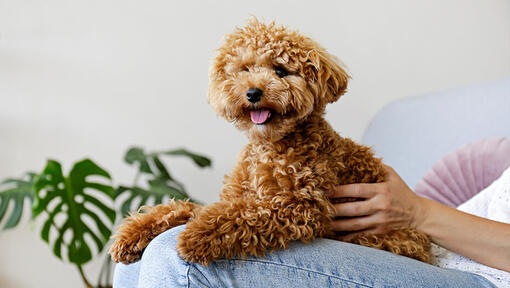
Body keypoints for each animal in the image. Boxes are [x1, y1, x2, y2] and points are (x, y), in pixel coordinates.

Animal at [108, 18, 430, 266]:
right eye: (245, 69)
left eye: (280, 71)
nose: (252, 93)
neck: (270, 147)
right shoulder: (234, 198)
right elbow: (189, 208)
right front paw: (133, 233)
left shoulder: (300, 207)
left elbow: (243, 215)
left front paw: (195, 236)